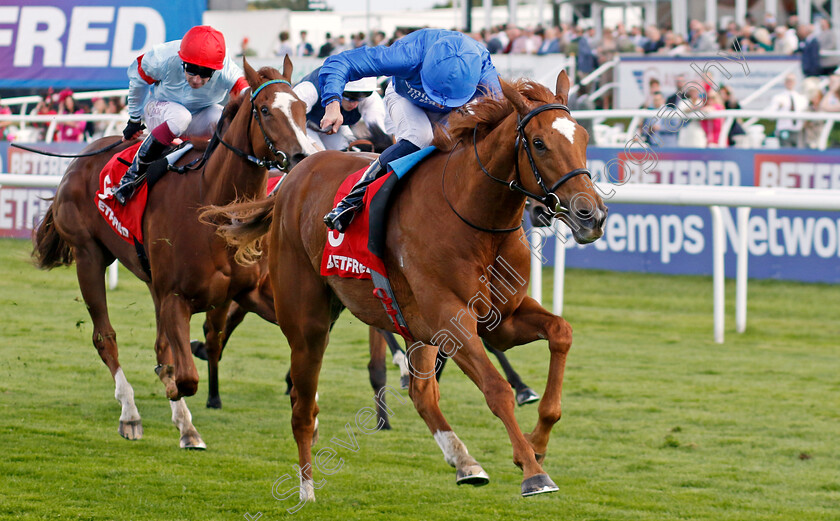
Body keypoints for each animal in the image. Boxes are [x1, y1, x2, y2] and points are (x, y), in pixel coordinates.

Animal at [31, 55, 316, 446]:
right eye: (265, 110)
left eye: (303, 108)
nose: (303, 156)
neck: (212, 205)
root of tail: (81, 157)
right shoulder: (175, 298)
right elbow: (186, 377)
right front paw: (174, 397)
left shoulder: (251, 293)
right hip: (89, 256)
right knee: (105, 337)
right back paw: (131, 414)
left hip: (150, 279)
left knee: (158, 345)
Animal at [207, 70, 608, 496]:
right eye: (539, 143)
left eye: (583, 139)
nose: (592, 215)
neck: (474, 217)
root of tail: (293, 177)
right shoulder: (451, 317)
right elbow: (496, 389)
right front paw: (533, 471)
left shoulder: (501, 320)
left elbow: (561, 333)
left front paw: (537, 442)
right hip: (308, 321)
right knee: (302, 404)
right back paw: (305, 488)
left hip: (410, 326)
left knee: (421, 393)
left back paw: (464, 462)